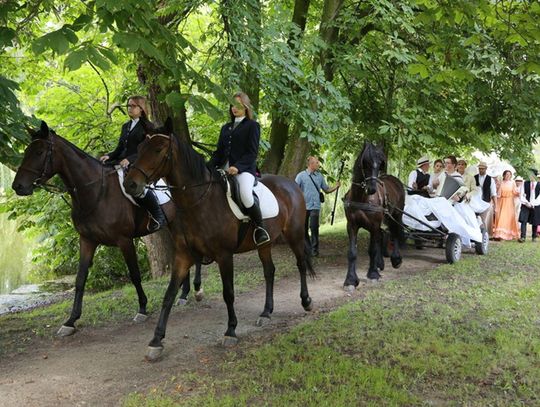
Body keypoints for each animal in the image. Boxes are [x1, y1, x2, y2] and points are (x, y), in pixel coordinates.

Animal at [11, 122, 179, 338]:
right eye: (27, 151)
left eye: (39, 152)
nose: (18, 186)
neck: (96, 191)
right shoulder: (87, 240)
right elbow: (80, 279)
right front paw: (71, 321)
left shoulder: (124, 240)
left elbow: (134, 274)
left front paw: (142, 309)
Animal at [123, 119, 314, 362]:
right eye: (139, 149)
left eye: (158, 150)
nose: (130, 184)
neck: (198, 201)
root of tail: (292, 184)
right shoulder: (183, 256)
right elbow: (169, 295)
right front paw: (156, 340)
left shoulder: (224, 255)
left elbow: (228, 293)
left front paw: (231, 330)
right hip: (264, 243)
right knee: (269, 271)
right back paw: (266, 312)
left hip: (295, 235)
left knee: (300, 264)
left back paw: (306, 301)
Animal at [344, 142, 402, 288]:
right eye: (365, 162)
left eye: (380, 163)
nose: (372, 189)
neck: (361, 198)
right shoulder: (352, 225)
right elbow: (352, 253)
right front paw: (350, 280)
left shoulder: (374, 225)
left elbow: (372, 250)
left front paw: (373, 274)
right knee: (383, 234)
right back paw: (380, 264)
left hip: (396, 215)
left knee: (395, 233)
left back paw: (396, 259)